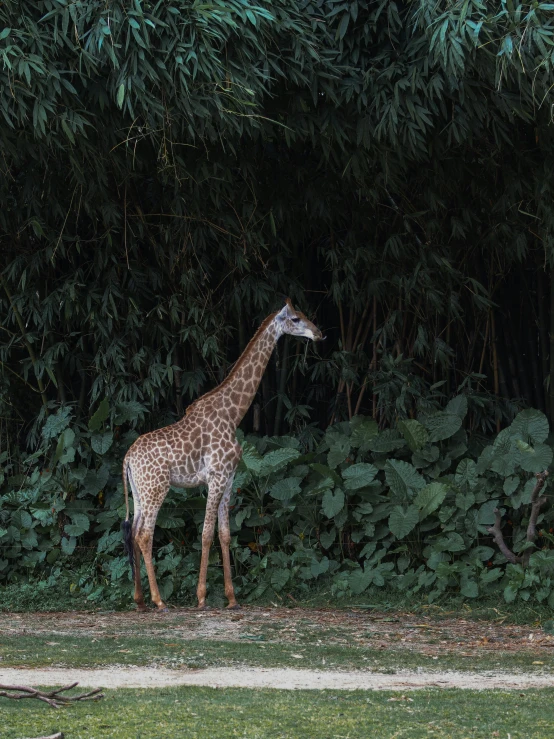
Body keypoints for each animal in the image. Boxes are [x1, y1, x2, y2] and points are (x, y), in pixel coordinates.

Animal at [118, 298, 322, 608]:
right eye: (296, 319)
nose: (319, 333)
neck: (233, 414)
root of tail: (127, 458)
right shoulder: (216, 476)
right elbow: (205, 534)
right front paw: (202, 597)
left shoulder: (229, 479)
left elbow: (225, 534)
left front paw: (231, 598)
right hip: (157, 488)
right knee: (144, 535)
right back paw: (159, 601)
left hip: (140, 492)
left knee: (132, 532)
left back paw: (140, 600)